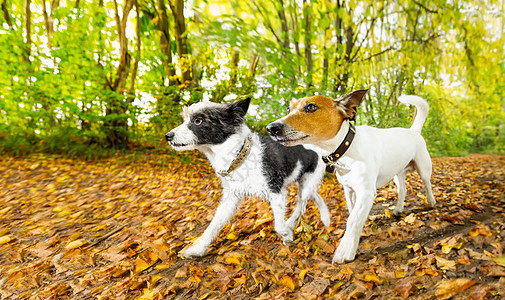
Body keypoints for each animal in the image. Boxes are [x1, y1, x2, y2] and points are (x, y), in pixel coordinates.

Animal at [266, 90, 436, 264]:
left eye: (311, 107)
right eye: (288, 109)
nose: (271, 128)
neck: (347, 148)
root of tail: (413, 131)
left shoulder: (366, 193)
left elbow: (353, 220)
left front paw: (345, 250)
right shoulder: (348, 189)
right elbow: (352, 213)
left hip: (424, 168)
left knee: (427, 184)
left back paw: (431, 202)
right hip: (397, 172)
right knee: (403, 189)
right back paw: (398, 208)